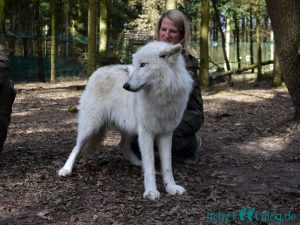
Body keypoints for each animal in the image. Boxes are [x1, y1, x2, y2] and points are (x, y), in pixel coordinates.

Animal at [58, 41, 193, 200]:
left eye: (143, 65)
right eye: (135, 65)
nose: (126, 86)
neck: (160, 95)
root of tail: (97, 71)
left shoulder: (166, 132)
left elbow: (167, 165)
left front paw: (171, 187)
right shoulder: (146, 132)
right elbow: (150, 165)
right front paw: (151, 191)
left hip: (130, 128)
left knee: (122, 145)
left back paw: (137, 163)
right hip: (90, 127)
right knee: (76, 147)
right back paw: (66, 170)